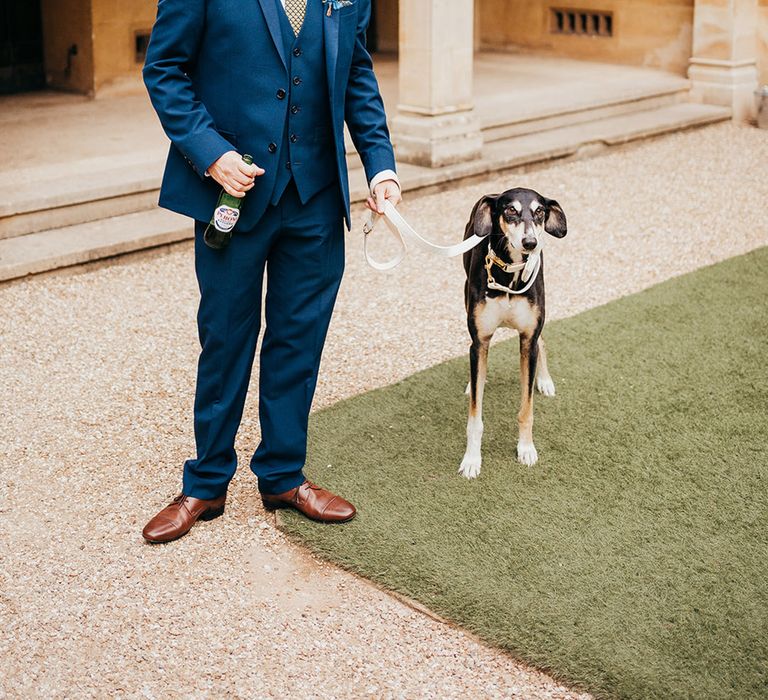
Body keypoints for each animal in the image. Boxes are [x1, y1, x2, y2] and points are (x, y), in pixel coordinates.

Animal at [460, 189, 568, 478]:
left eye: (540, 211)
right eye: (510, 210)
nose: (530, 242)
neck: (508, 272)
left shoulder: (528, 339)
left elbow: (526, 409)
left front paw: (526, 448)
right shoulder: (480, 340)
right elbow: (475, 417)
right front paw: (472, 459)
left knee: (543, 342)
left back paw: (544, 380)